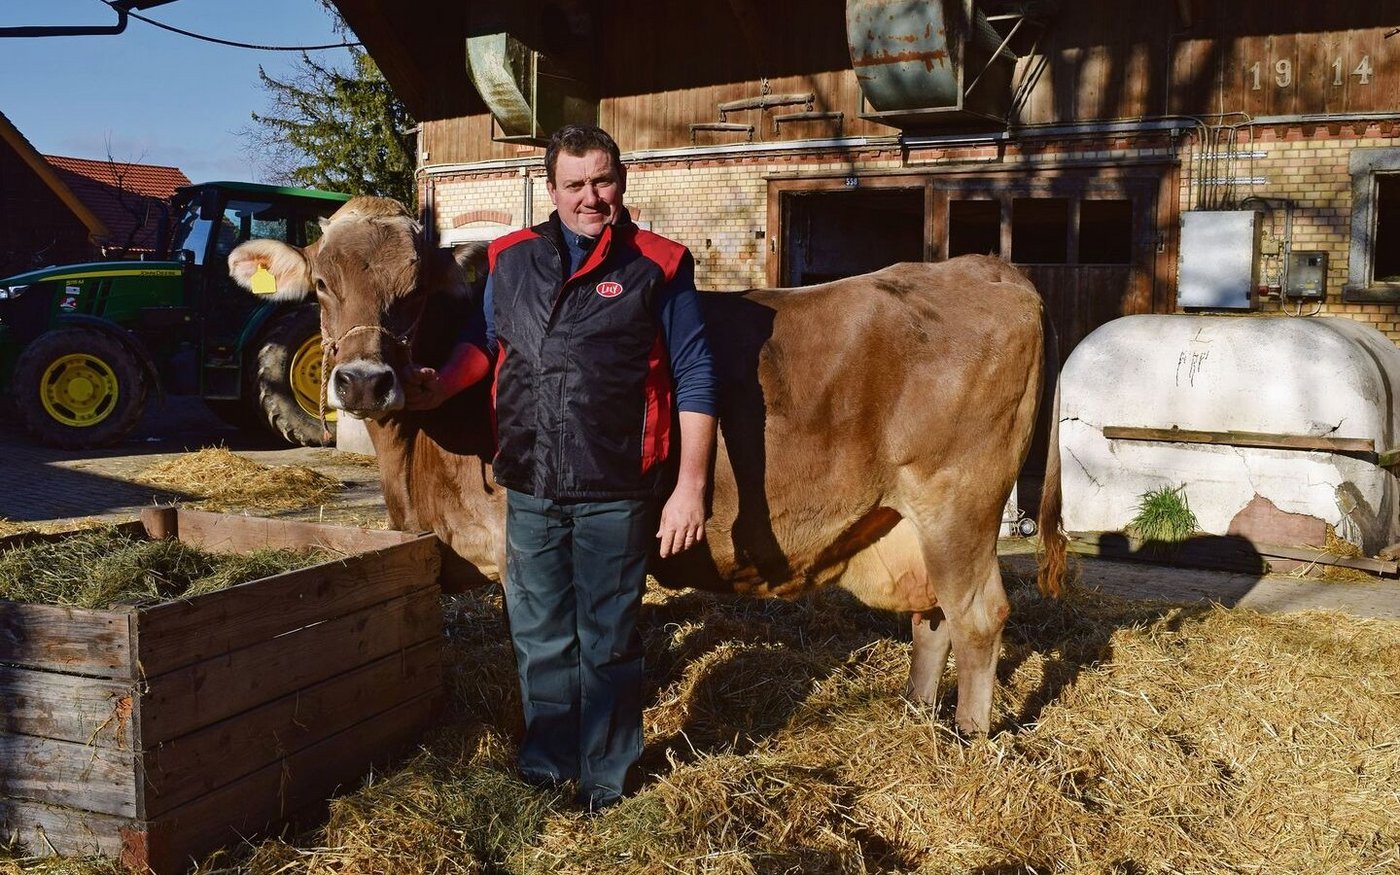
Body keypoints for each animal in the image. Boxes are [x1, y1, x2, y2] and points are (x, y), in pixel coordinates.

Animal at [229, 196, 1067, 736]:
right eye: (324, 284)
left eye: (413, 292)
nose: (363, 380)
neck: (416, 468)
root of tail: (989, 268)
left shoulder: (518, 543)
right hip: (907, 517)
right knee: (932, 614)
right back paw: (918, 710)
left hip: (959, 502)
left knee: (978, 613)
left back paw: (968, 736)